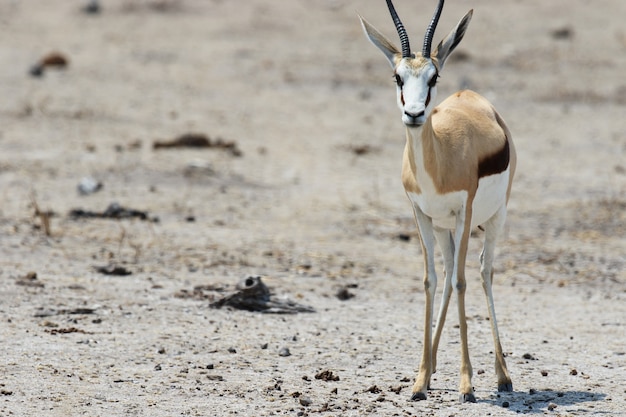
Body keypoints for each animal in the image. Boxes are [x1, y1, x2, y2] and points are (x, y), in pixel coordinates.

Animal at [358, 0, 516, 404]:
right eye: (398, 77)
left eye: (433, 78)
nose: (414, 114)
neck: (440, 160)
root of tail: (474, 97)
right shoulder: (420, 214)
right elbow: (430, 280)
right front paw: (418, 380)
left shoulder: (465, 212)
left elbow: (462, 281)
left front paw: (467, 384)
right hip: (445, 228)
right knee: (445, 275)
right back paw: (429, 373)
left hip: (493, 218)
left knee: (482, 271)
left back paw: (503, 376)